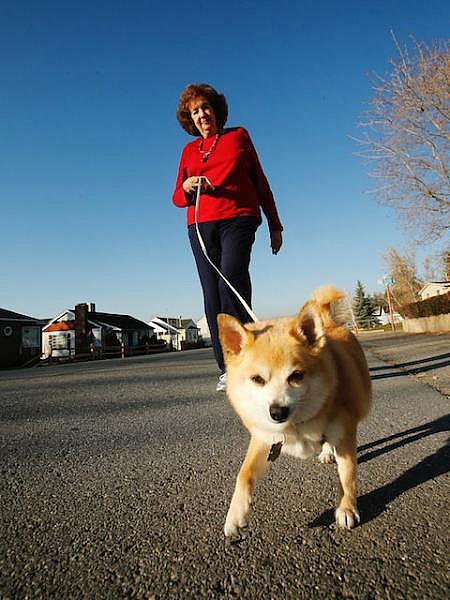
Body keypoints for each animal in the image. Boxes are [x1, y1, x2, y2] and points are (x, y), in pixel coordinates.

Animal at [216, 286, 370, 540]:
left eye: (296, 376)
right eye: (257, 379)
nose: (277, 411)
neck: (295, 426)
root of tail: (328, 324)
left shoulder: (345, 435)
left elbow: (347, 476)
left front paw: (347, 508)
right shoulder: (264, 439)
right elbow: (244, 474)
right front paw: (235, 516)